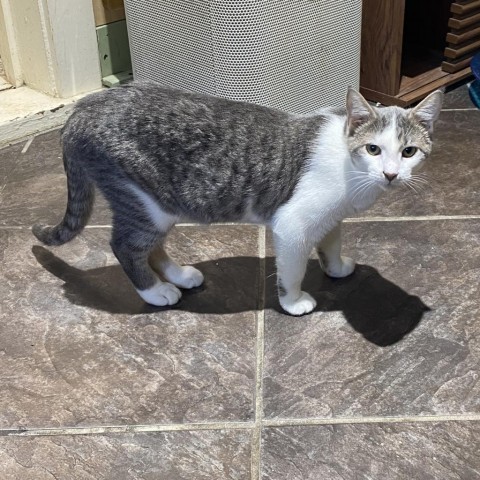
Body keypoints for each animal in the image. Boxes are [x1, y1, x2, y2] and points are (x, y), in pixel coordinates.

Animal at [31, 82, 442, 316]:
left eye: (408, 152)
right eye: (373, 149)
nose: (391, 174)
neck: (350, 170)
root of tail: (82, 109)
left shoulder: (330, 216)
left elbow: (331, 242)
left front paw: (337, 267)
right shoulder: (292, 225)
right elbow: (292, 270)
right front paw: (294, 302)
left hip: (161, 203)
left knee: (151, 246)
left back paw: (179, 275)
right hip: (142, 201)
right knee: (125, 246)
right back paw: (156, 291)